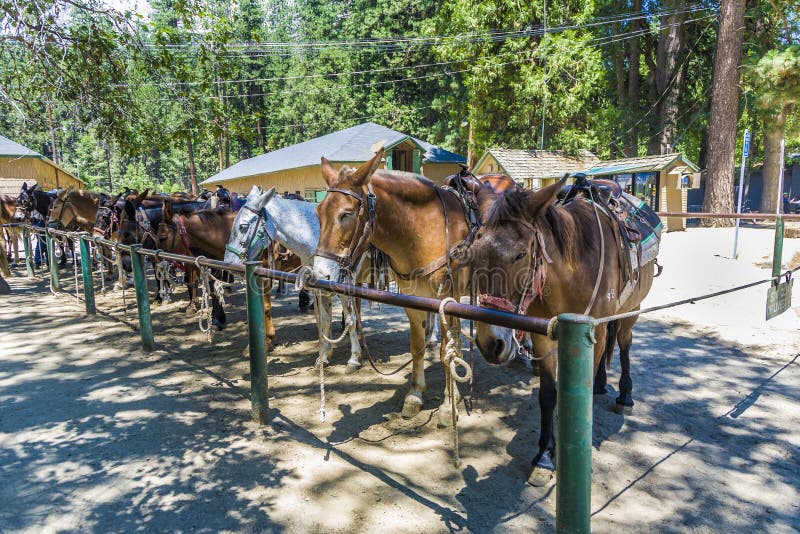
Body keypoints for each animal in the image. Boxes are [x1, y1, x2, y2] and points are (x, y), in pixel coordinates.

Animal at [225, 185, 363, 367]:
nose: (229, 263)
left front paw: (354, 357)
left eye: (243, 226)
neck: (316, 234)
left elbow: (350, 319)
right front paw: (324, 356)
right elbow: (323, 320)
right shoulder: (318, 286)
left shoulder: (342, 286)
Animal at [312, 148, 476, 425]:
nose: (320, 274)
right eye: (317, 212)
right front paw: (415, 396)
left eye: (346, 214)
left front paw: (448, 405)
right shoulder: (413, 302)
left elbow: (447, 351)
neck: (426, 231)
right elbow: (417, 347)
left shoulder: (448, 302)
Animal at [466, 176, 660, 486]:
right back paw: (602, 384)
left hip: (632, 308)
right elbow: (547, 394)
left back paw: (625, 395)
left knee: (625, 344)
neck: (571, 274)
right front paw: (545, 454)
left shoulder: (595, 331)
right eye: (474, 255)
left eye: (521, 254)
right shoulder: (542, 334)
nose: (490, 344)